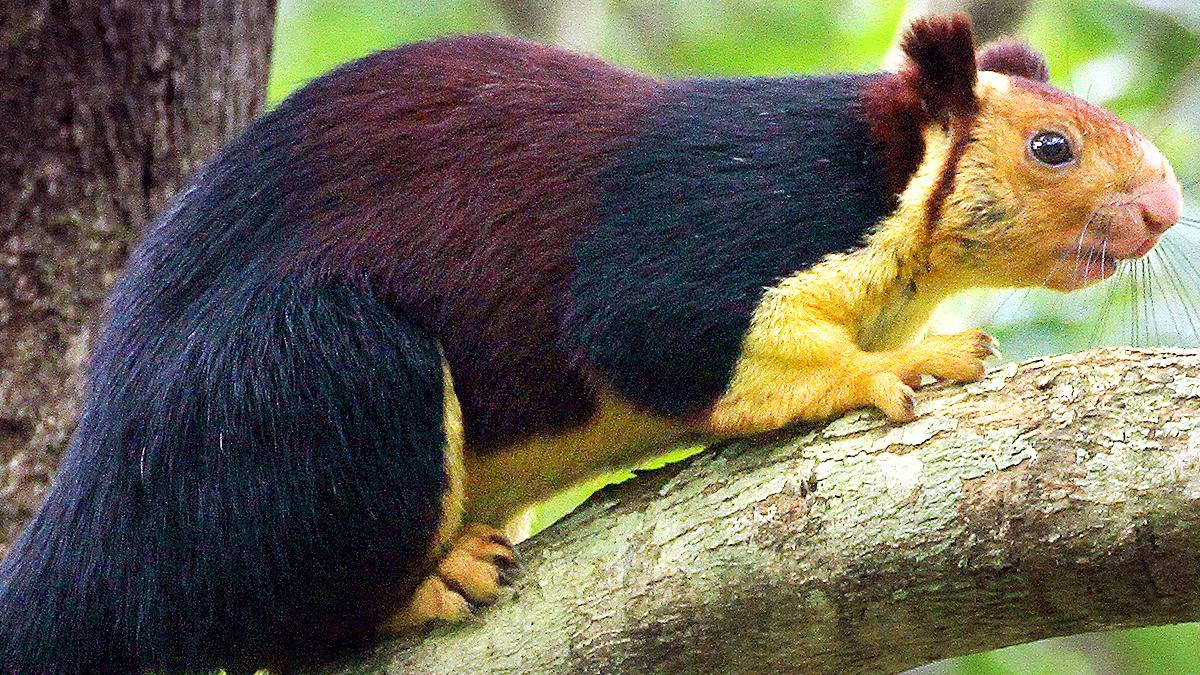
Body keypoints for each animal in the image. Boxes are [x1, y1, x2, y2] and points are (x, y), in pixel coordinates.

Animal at [0, 14, 1183, 674]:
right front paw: (896, 365)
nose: (1167, 207)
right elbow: (657, 334)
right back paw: (425, 583)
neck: (891, 179)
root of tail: (89, 512)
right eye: (1051, 146)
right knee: (271, 624)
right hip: (302, 377)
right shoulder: (724, 218)